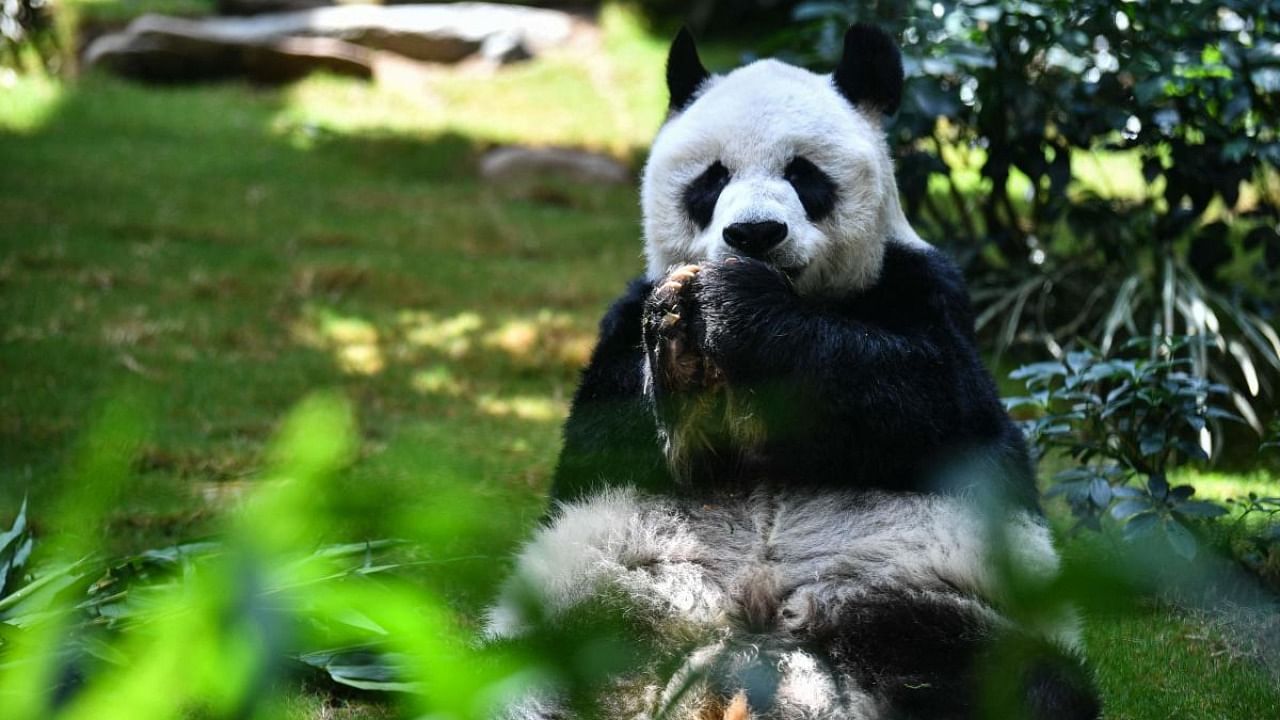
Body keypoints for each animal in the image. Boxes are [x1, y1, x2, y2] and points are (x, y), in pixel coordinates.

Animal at [483, 25, 1105, 712]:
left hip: (928, 600)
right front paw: (681, 350)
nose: (755, 234)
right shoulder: (620, 325)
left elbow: (927, 395)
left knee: (1018, 681)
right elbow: (617, 432)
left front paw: (738, 308)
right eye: (712, 179)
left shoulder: (927, 291)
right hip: (602, 603)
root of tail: (750, 652)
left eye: (804, 174)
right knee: (526, 675)